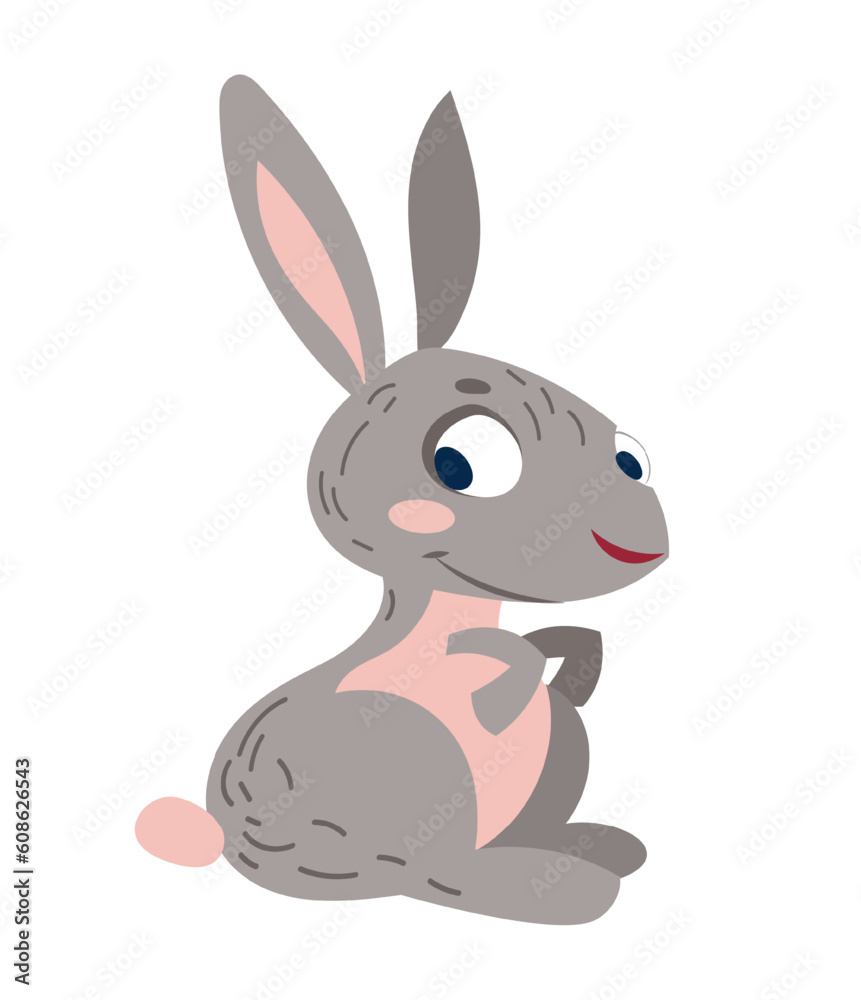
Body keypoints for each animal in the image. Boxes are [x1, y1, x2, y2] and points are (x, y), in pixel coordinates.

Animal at [134, 75, 669, 925]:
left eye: (630, 457)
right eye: (458, 463)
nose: (634, 539)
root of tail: (227, 840)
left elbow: (555, 645)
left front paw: (570, 659)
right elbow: (508, 662)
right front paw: (517, 668)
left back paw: (597, 845)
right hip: (412, 765)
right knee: (440, 875)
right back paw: (560, 883)